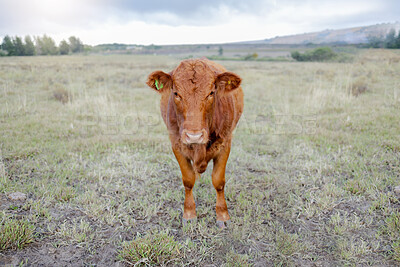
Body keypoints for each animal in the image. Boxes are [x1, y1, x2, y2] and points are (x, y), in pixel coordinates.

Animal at [145, 58, 242, 228]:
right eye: (176, 93)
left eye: (211, 93)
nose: (194, 136)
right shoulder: (176, 143)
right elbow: (188, 180)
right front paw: (189, 213)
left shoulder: (225, 143)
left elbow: (219, 181)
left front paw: (222, 215)